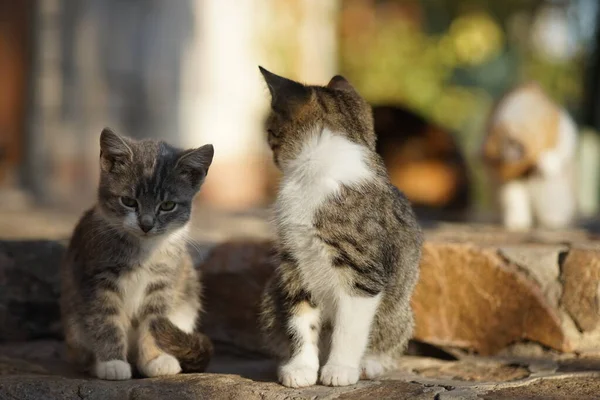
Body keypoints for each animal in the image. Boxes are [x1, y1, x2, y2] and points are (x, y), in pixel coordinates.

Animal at [61, 130, 214, 380]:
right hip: (73, 322)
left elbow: (154, 321)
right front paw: (112, 362)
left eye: (168, 205)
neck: (143, 251)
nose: (146, 224)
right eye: (129, 201)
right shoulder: (98, 279)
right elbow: (105, 320)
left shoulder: (163, 281)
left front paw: (156, 359)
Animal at [258, 68, 422, 388]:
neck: (315, 178)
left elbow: (350, 326)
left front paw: (340, 369)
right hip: (272, 294)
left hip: (399, 308)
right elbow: (301, 319)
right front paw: (301, 367)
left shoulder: (363, 270)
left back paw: (369, 364)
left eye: (270, 132)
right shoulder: (294, 264)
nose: (271, 154)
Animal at [482, 82, 576, 231]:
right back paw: (516, 222)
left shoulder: (561, 127)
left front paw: (547, 162)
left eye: (512, 142)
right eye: (501, 148)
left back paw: (552, 219)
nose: (511, 153)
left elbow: (559, 149)